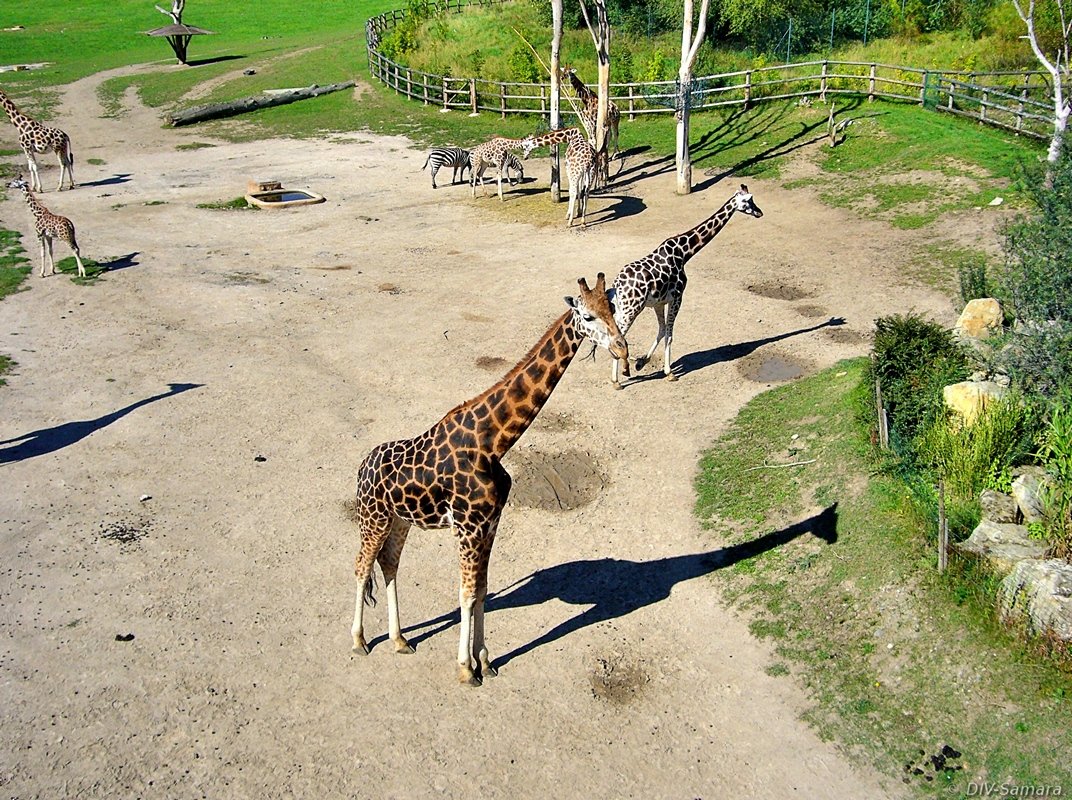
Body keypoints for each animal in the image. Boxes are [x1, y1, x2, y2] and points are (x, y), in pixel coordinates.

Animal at [349, 276, 626, 686]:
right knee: (361, 566)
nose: (623, 348)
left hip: (400, 521)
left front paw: (486, 660)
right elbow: (465, 593)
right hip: (373, 518)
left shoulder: (490, 523)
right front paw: (466, 669)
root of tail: (361, 468)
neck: (492, 443)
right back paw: (359, 641)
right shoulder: (467, 527)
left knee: (389, 564)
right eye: (588, 315)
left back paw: (399, 640)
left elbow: (481, 589)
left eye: (614, 307)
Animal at [604, 184, 763, 390]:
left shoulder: (659, 302)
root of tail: (617, 285)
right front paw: (669, 372)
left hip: (624, 308)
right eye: (747, 201)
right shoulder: (677, 297)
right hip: (631, 309)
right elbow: (670, 334)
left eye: (752, 198)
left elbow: (662, 330)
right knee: (618, 336)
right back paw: (617, 380)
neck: (684, 252)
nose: (759, 212)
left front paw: (641, 362)